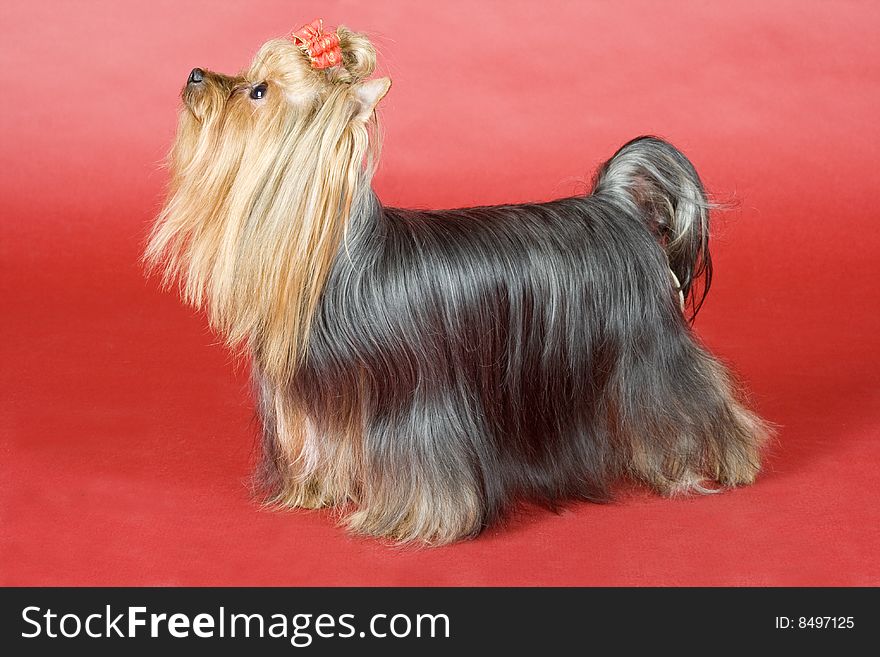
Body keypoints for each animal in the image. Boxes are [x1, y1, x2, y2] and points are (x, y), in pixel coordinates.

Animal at [148, 20, 768, 544]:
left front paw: (414, 522)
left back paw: (729, 462)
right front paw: (320, 493)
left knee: (690, 394)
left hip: (647, 349)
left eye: (258, 92)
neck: (335, 263)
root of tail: (617, 205)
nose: (195, 74)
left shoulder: (415, 407)